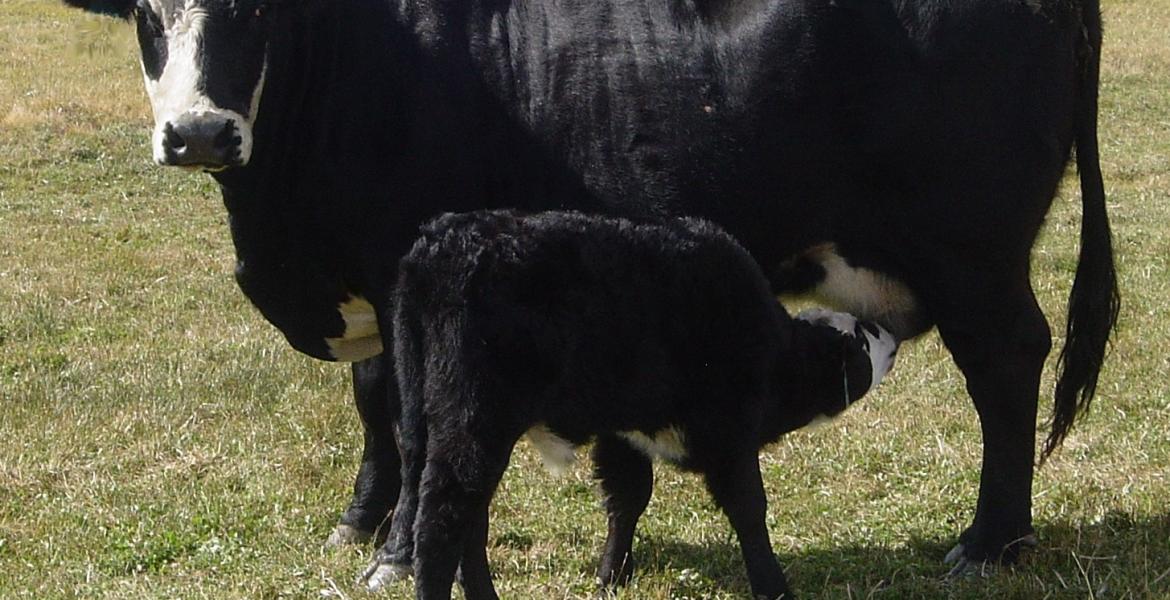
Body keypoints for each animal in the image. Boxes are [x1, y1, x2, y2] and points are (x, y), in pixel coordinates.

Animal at [392, 209, 899, 600]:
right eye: (860, 337)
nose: (891, 337)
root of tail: (441, 241)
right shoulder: (730, 431)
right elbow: (749, 508)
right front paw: (772, 585)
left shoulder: (624, 433)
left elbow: (627, 497)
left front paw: (612, 575)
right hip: (474, 423)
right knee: (441, 521)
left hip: (429, 419)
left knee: (468, 519)